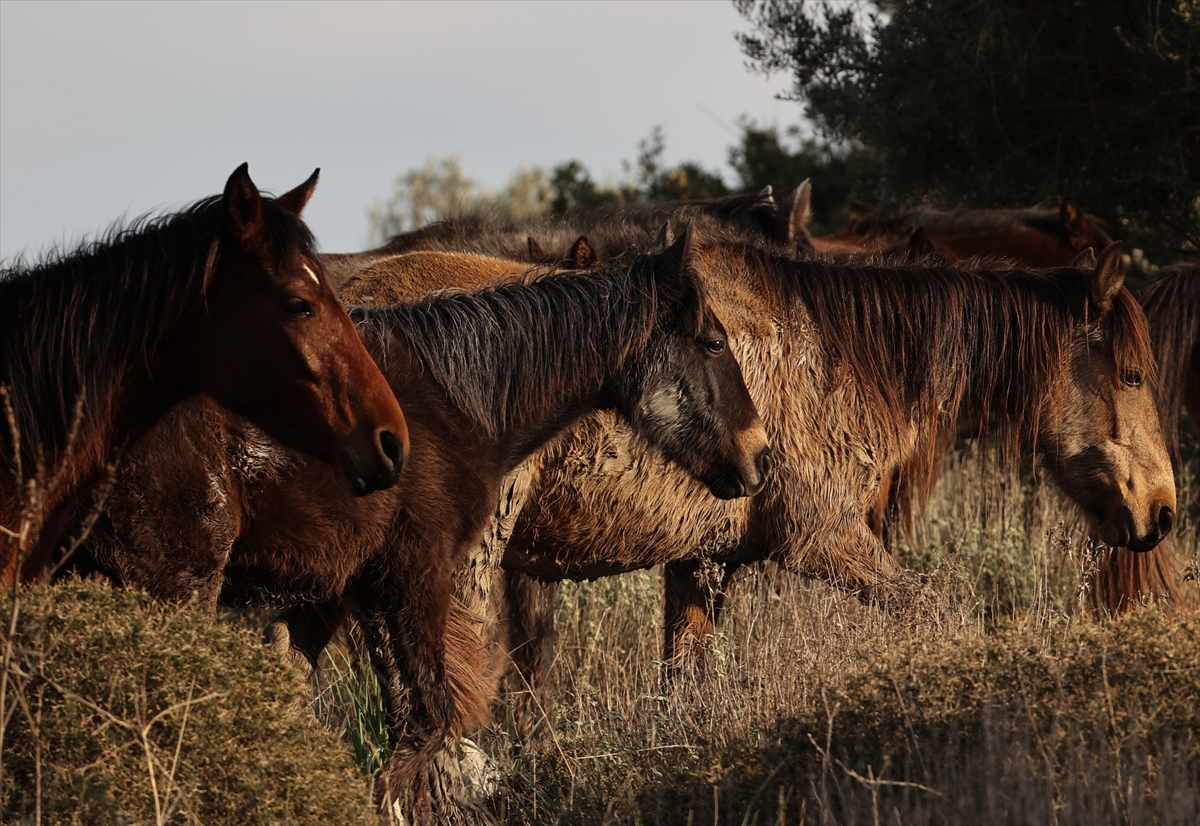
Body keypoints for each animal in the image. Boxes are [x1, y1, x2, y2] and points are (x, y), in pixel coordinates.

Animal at [77, 229, 768, 821]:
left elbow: (327, 690)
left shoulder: (345, 590)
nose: (760, 457)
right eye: (713, 342)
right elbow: (430, 719)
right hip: (179, 585)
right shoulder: (417, 578)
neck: (453, 401)